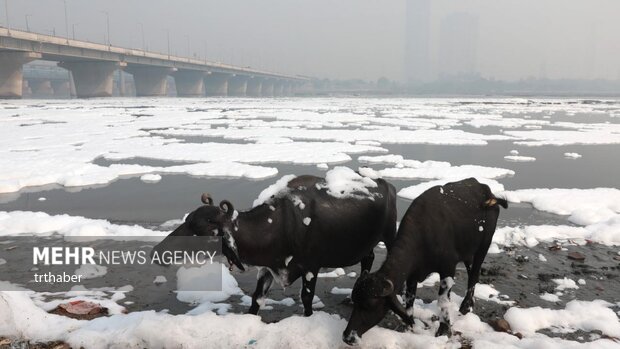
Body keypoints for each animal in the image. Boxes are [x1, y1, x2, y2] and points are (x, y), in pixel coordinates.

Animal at [153, 167, 400, 316]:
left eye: (201, 229)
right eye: (187, 220)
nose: (158, 251)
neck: (281, 225)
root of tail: (386, 184)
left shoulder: (311, 267)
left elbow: (306, 299)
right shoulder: (268, 267)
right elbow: (256, 299)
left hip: (389, 235)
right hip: (368, 244)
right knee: (367, 258)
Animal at [342, 178, 506, 344]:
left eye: (370, 305)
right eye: (354, 300)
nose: (347, 336)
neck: (424, 237)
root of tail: (487, 191)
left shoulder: (448, 268)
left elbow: (443, 302)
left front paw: (443, 330)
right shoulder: (412, 276)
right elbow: (409, 302)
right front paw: (407, 328)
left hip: (483, 247)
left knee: (474, 275)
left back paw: (465, 306)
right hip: (468, 253)